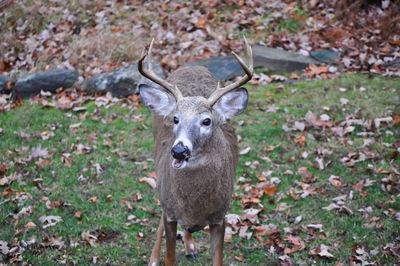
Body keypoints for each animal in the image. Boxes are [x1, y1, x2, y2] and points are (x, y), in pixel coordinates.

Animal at [138, 38, 253, 266]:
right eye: (175, 119)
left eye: (206, 121)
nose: (179, 151)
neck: (194, 206)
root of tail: (192, 66)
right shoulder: (170, 212)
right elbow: (170, 258)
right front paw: (159, 257)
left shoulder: (220, 216)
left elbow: (218, 260)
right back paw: (154, 258)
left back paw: (190, 246)